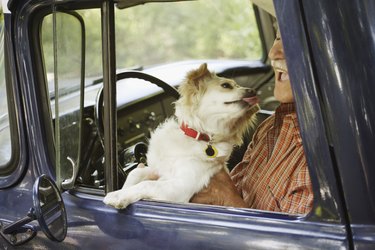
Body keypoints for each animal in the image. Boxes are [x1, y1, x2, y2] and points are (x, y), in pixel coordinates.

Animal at [104, 63, 260, 209]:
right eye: (226, 85)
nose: (253, 91)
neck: (196, 137)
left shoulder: (180, 186)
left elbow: (146, 184)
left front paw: (117, 196)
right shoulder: (158, 169)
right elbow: (135, 173)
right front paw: (122, 191)